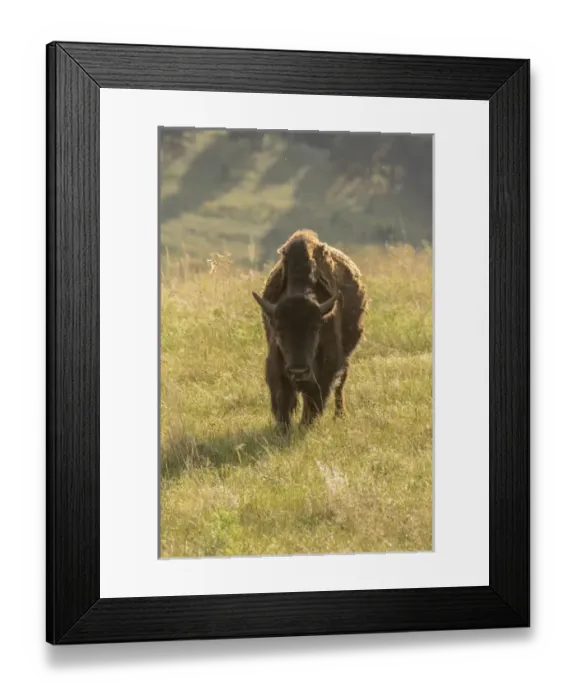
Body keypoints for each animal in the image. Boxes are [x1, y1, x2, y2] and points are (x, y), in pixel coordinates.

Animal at [252, 229, 367, 432]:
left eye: (315, 328)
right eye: (279, 329)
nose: (298, 371)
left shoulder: (327, 367)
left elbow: (315, 397)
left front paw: (306, 425)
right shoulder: (276, 365)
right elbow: (283, 398)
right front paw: (284, 428)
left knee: (340, 385)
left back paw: (340, 415)